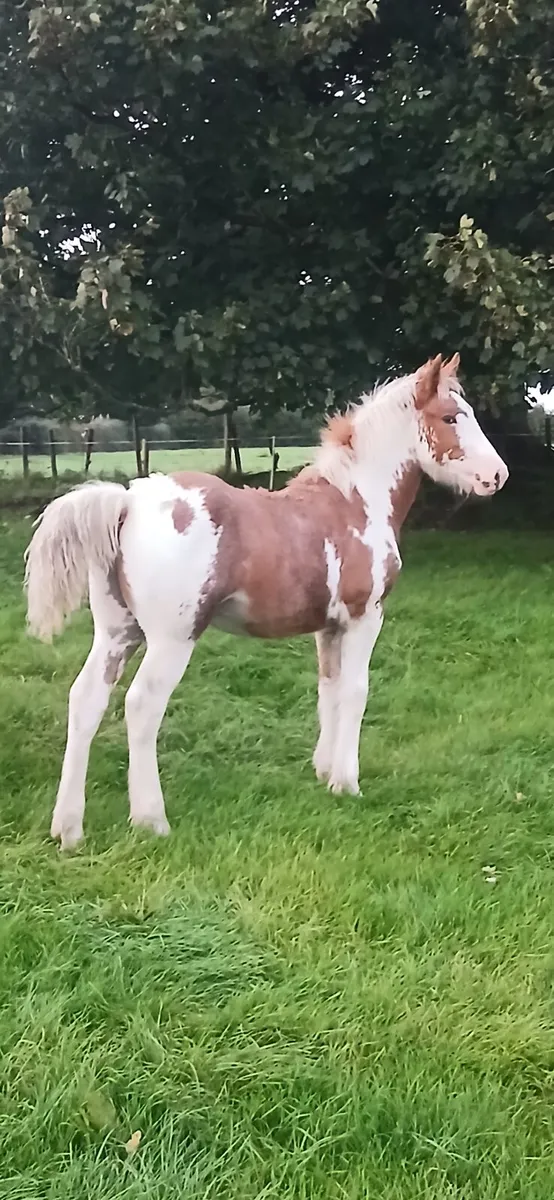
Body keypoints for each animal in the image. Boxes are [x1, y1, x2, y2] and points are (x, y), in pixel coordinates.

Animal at [25, 353, 508, 849]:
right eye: (450, 417)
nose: (497, 476)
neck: (355, 502)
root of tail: (127, 503)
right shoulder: (364, 617)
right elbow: (356, 691)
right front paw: (348, 783)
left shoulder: (327, 626)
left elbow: (328, 688)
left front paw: (324, 774)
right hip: (171, 639)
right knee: (141, 707)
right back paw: (151, 820)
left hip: (116, 632)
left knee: (85, 701)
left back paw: (68, 828)